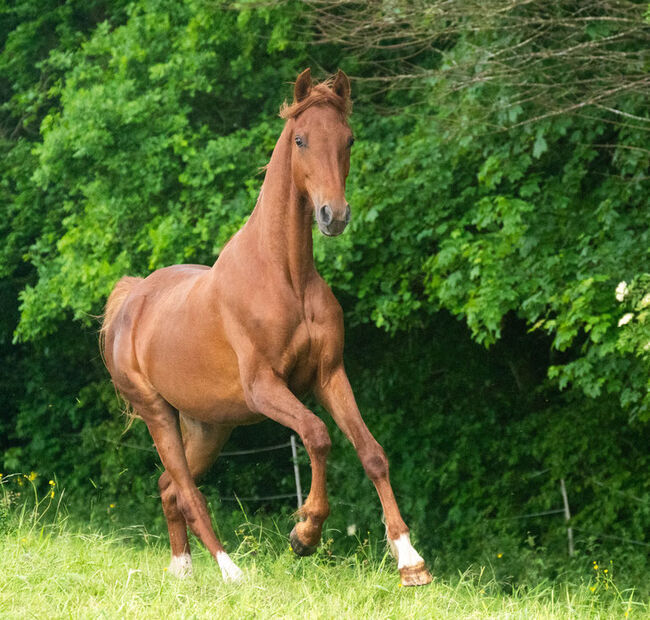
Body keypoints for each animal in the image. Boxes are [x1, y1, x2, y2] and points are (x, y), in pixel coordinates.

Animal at [100, 68, 430, 588]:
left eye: (349, 139)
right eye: (300, 139)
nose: (334, 216)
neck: (286, 276)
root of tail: (132, 299)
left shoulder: (329, 375)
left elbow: (372, 453)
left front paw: (410, 560)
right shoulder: (265, 388)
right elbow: (318, 435)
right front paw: (305, 534)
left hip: (209, 427)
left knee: (169, 487)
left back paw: (183, 571)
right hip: (157, 414)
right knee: (188, 492)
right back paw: (231, 572)